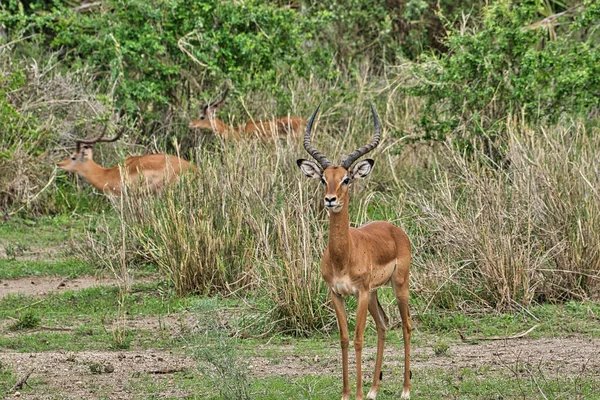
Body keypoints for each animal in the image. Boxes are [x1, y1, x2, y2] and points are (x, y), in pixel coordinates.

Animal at [296, 104, 410, 400]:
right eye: (324, 179)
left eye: (346, 179)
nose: (330, 200)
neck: (342, 256)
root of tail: (394, 229)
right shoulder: (336, 294)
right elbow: (345, 339)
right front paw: (348, 393)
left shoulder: (359, 293)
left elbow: (359, 339)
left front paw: (356, 394)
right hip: (374, 294)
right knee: (383, 324)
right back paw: (373, 390)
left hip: (398, 285)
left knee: (406, 325)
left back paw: (405, 389)